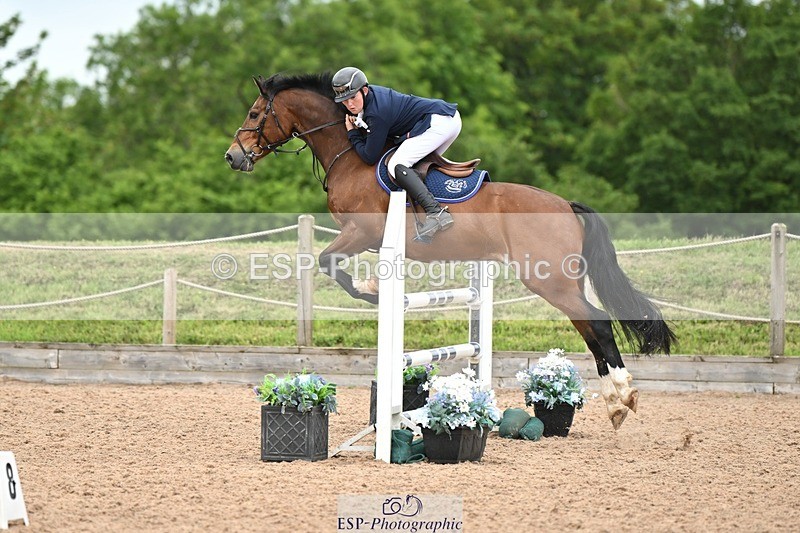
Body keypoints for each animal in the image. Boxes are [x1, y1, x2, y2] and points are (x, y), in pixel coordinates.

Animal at [225, 72, 676, 430]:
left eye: (254, 114)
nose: (232, 157)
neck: (350, 155)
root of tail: (566, 205)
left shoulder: (361, 233)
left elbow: (328, 263)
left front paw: (371, 290)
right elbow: (328, 264)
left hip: (549, 280)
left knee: (597, 323)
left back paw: (623, 396)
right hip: (562, 282)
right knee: (588, 326)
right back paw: (616, 402)